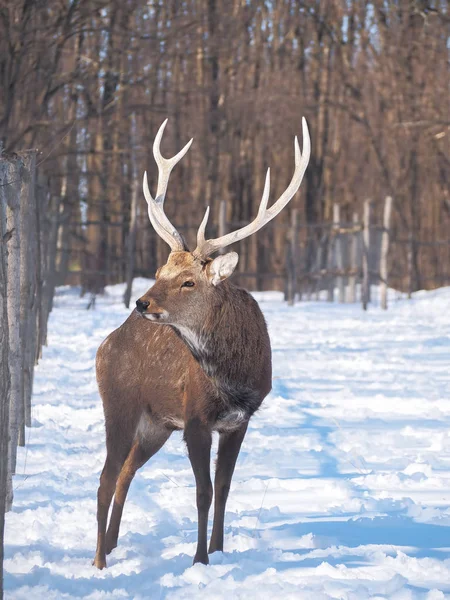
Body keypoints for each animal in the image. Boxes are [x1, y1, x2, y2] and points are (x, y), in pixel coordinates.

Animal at [91, 118, 310, 572]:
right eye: (160, 270)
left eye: (188, 281)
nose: (142, 302)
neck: (233, 378)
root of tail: (106, 344)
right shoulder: (194, 418)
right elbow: (203, 492)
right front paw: (199, 560)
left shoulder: (239, 421)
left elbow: (224, 487)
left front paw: (220, 550)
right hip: (119, 403)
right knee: (104, 478)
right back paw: (99, 562)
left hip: (155, 424)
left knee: (124, 473)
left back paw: (115, 545)